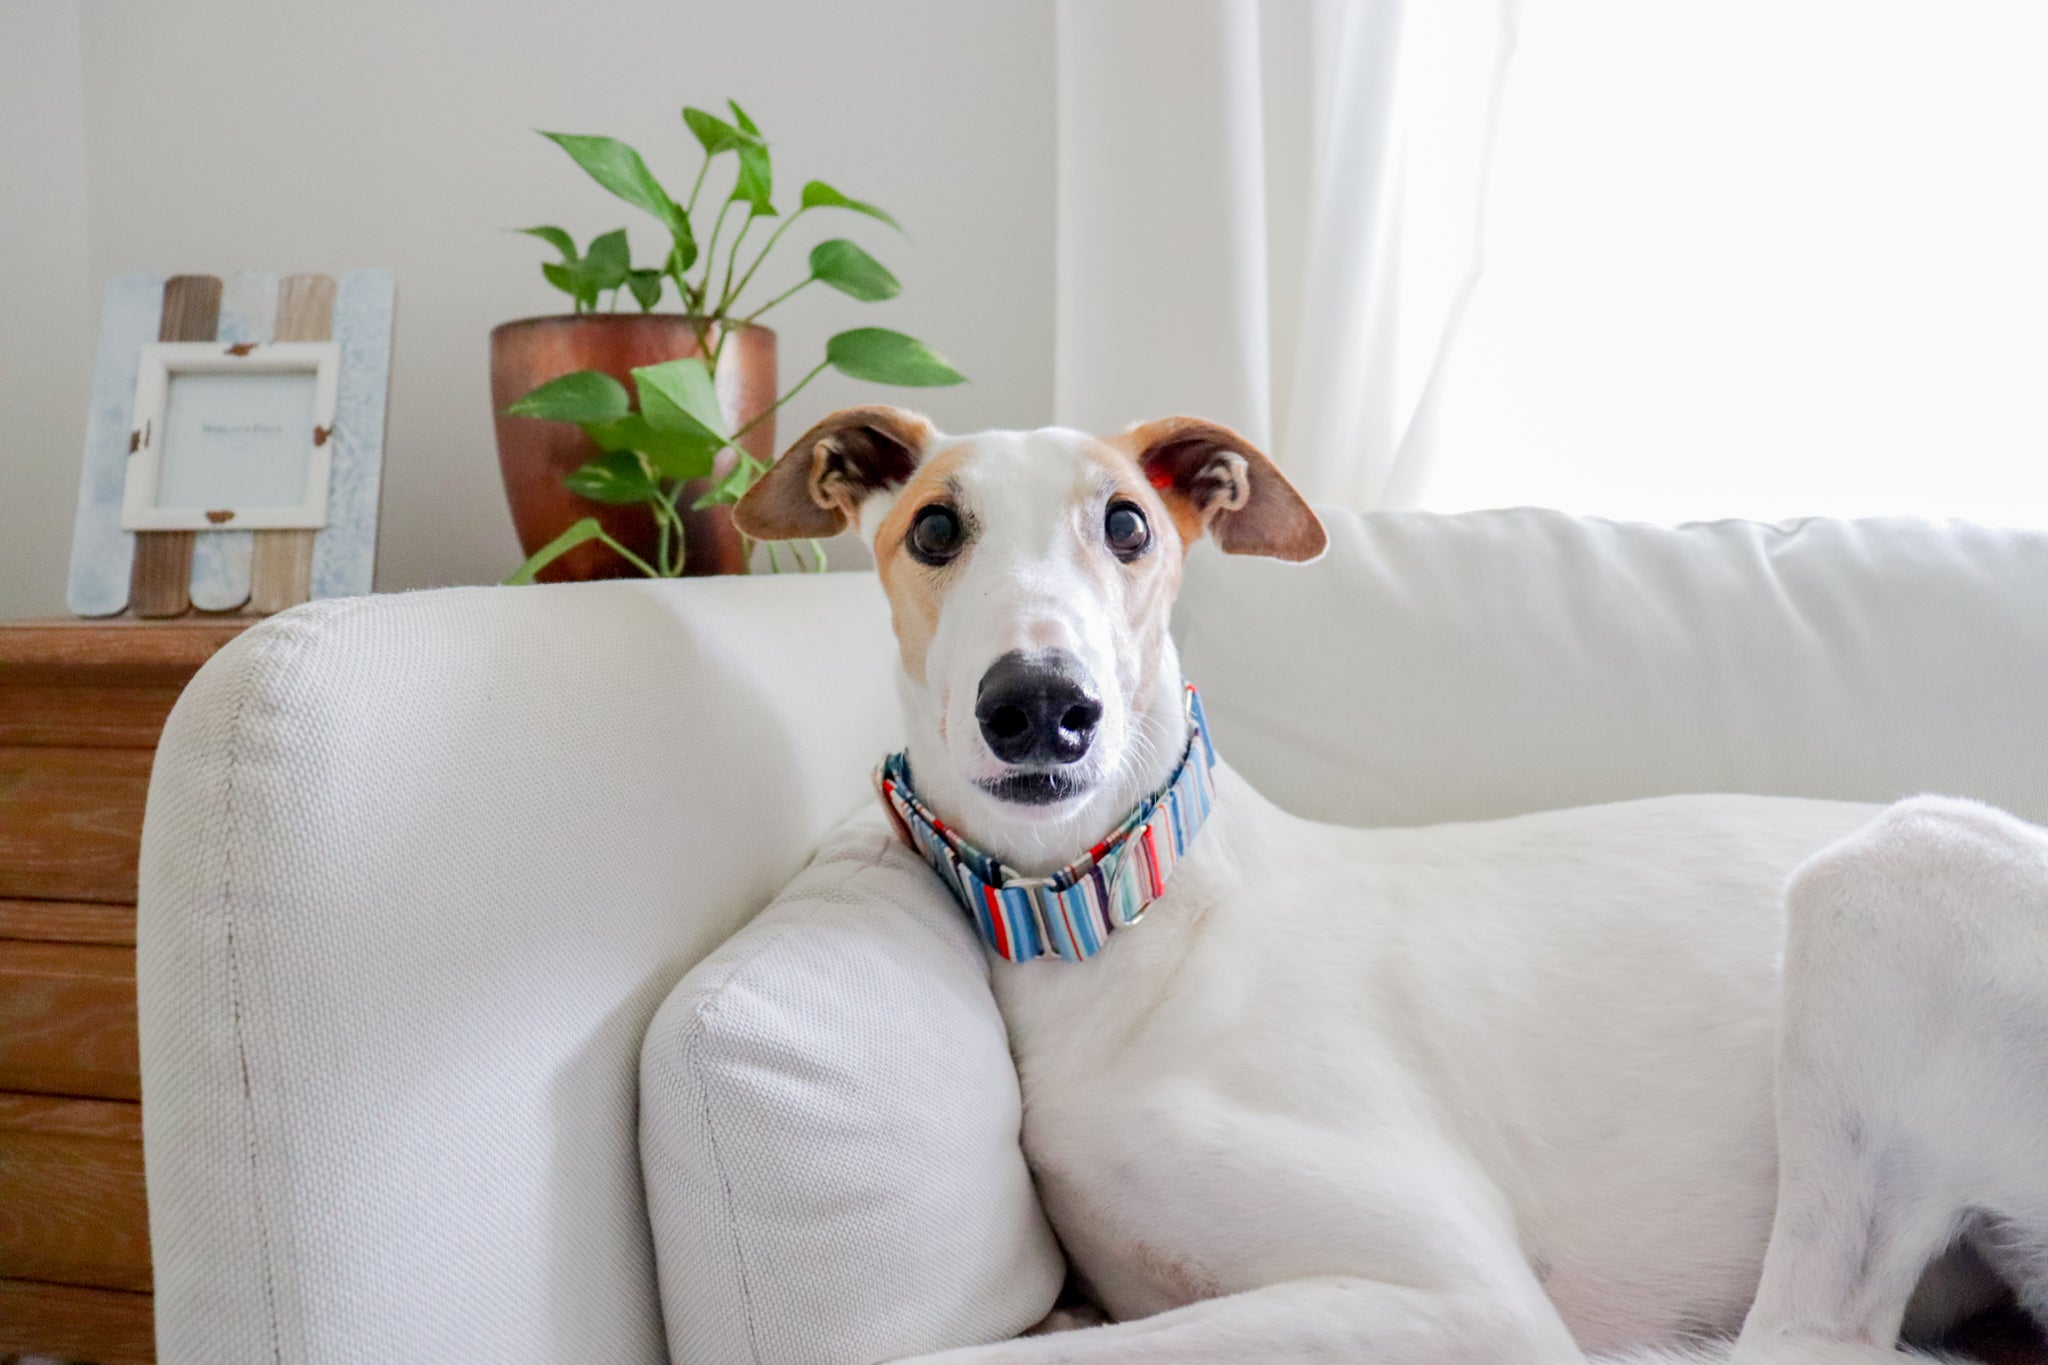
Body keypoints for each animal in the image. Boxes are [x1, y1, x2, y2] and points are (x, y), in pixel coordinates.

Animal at [733, 409, 2048, 1365]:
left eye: (1125, 524)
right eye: (934, 531)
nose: (1041, 708)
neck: (1122, 923)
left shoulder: (1462, 1299)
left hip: (1893, 876)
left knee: (1808, 1341)